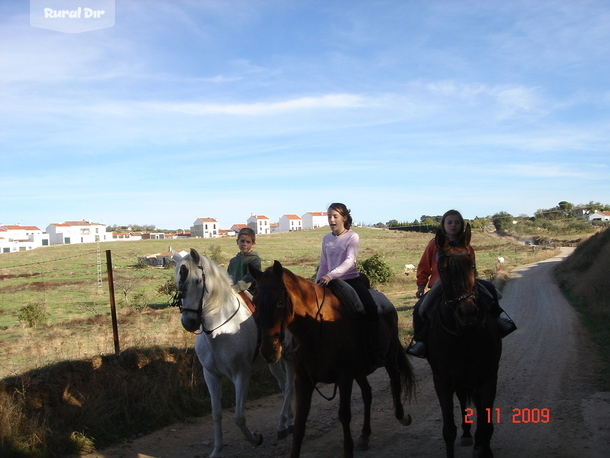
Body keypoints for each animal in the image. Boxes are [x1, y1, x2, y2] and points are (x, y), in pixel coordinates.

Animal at [172, 249, 294, 456]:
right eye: (178, 282)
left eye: (197, 281)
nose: (189, 322)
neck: (218, 330)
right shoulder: (211, 375)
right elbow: (216, 413)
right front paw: (217, 449)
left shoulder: (241, 374)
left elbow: (238, 417)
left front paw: (256, 438)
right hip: (274, 361)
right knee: (284, 385)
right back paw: (288, 421)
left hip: (291, 358)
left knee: (290, 386)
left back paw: (283, 425)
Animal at [247, 262, 414, 458]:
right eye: (255, 303)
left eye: (280, 302)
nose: (268, 351)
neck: (316, 327)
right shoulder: (303, 381)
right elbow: (300, 424)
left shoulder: (344, 377)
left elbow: (344, 415)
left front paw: (348, 451)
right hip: (359, 370)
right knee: (367, 393)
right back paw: (364, 435)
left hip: (389, 357)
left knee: (395, 381)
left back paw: (402, 417)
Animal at [426, 225, 502, 458]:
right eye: (442, 270)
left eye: (472, 265)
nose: (467, 313)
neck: (464, 337)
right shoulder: (442, 382)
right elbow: (448, 430)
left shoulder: (488, 379)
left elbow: (487, 424)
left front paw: (485, 450)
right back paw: (468, 435)